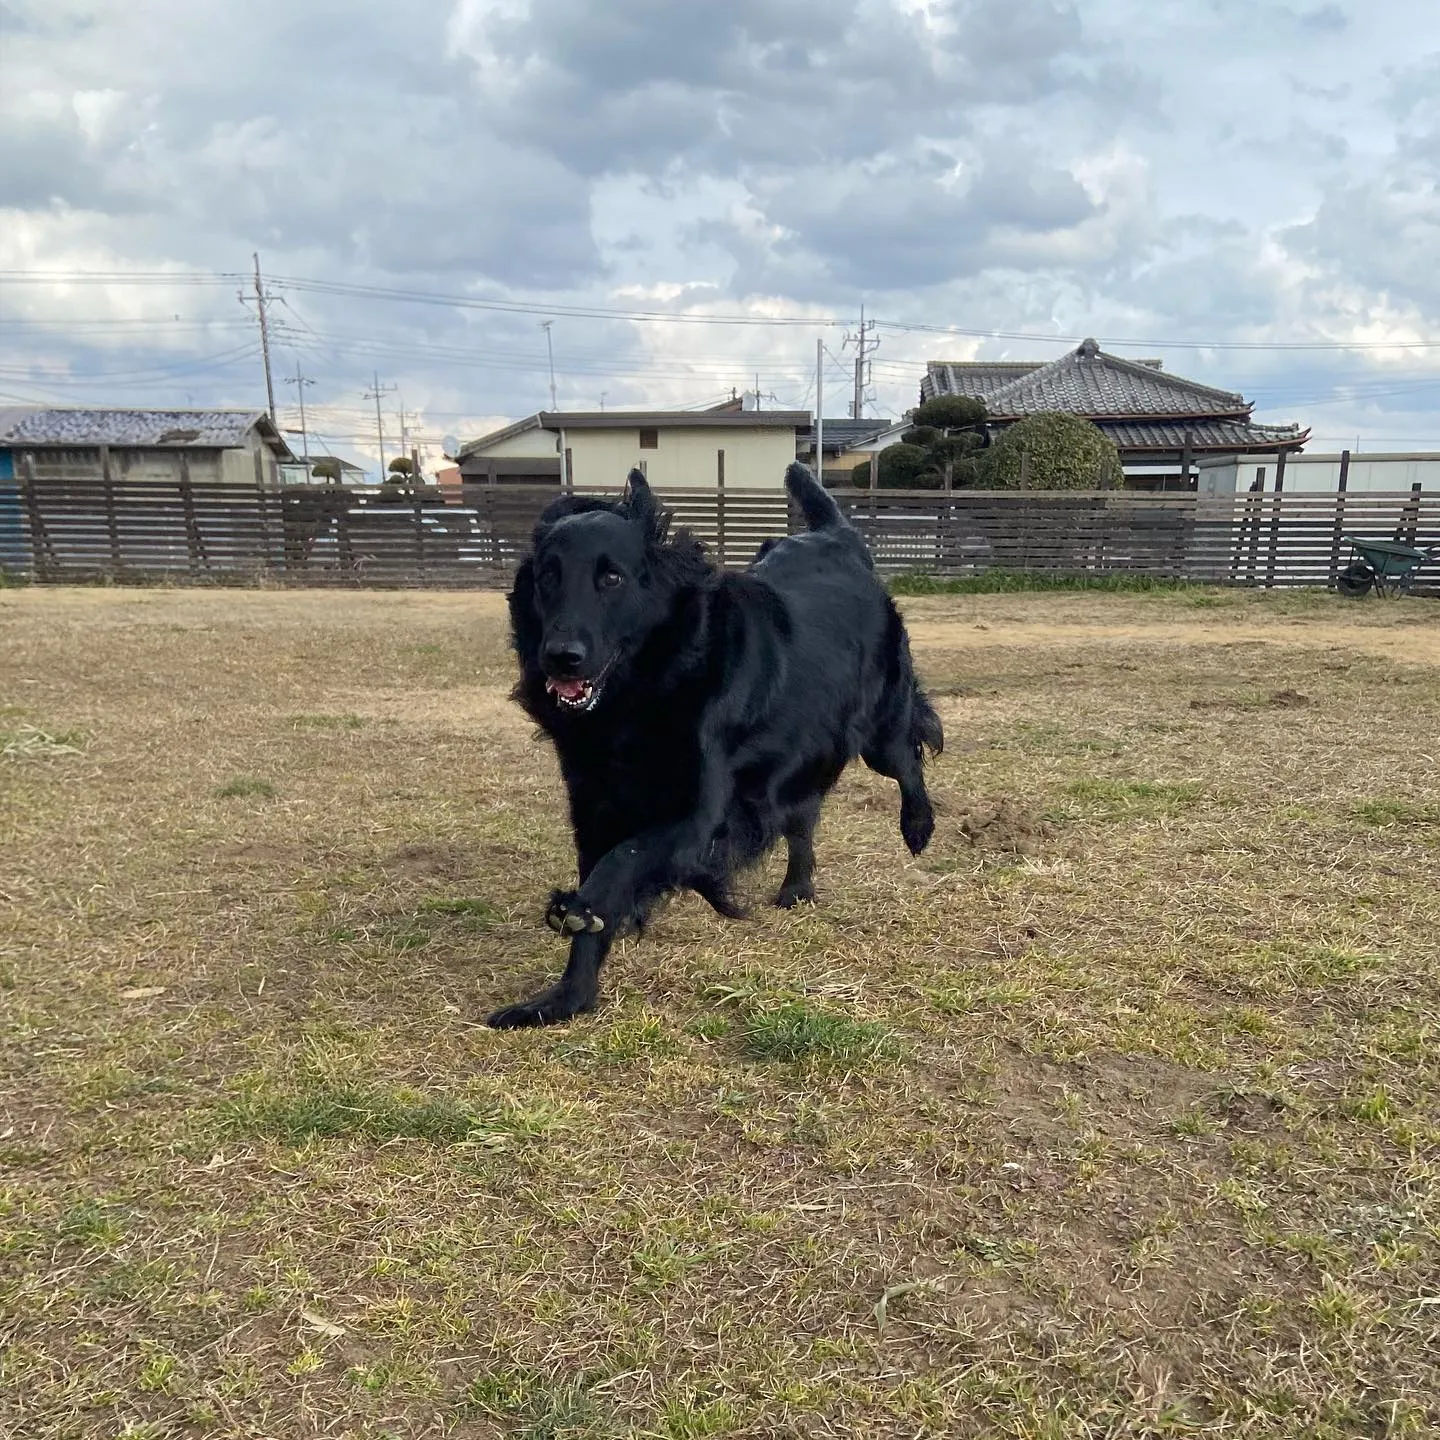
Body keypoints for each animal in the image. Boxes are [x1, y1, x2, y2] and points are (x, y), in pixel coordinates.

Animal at [489, 460, 944, 1025]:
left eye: (611, 577)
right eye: (547, 577)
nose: (561, 656)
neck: (648, 686)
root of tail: (836, 537)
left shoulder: (700, 814)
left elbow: (623, 861)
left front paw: (581, 910)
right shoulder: (593, 805)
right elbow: (605, 870)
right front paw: (564, 1000)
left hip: (878, 727)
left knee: (909, 758)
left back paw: (918, 827)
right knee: (804, 817)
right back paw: (797, 888)